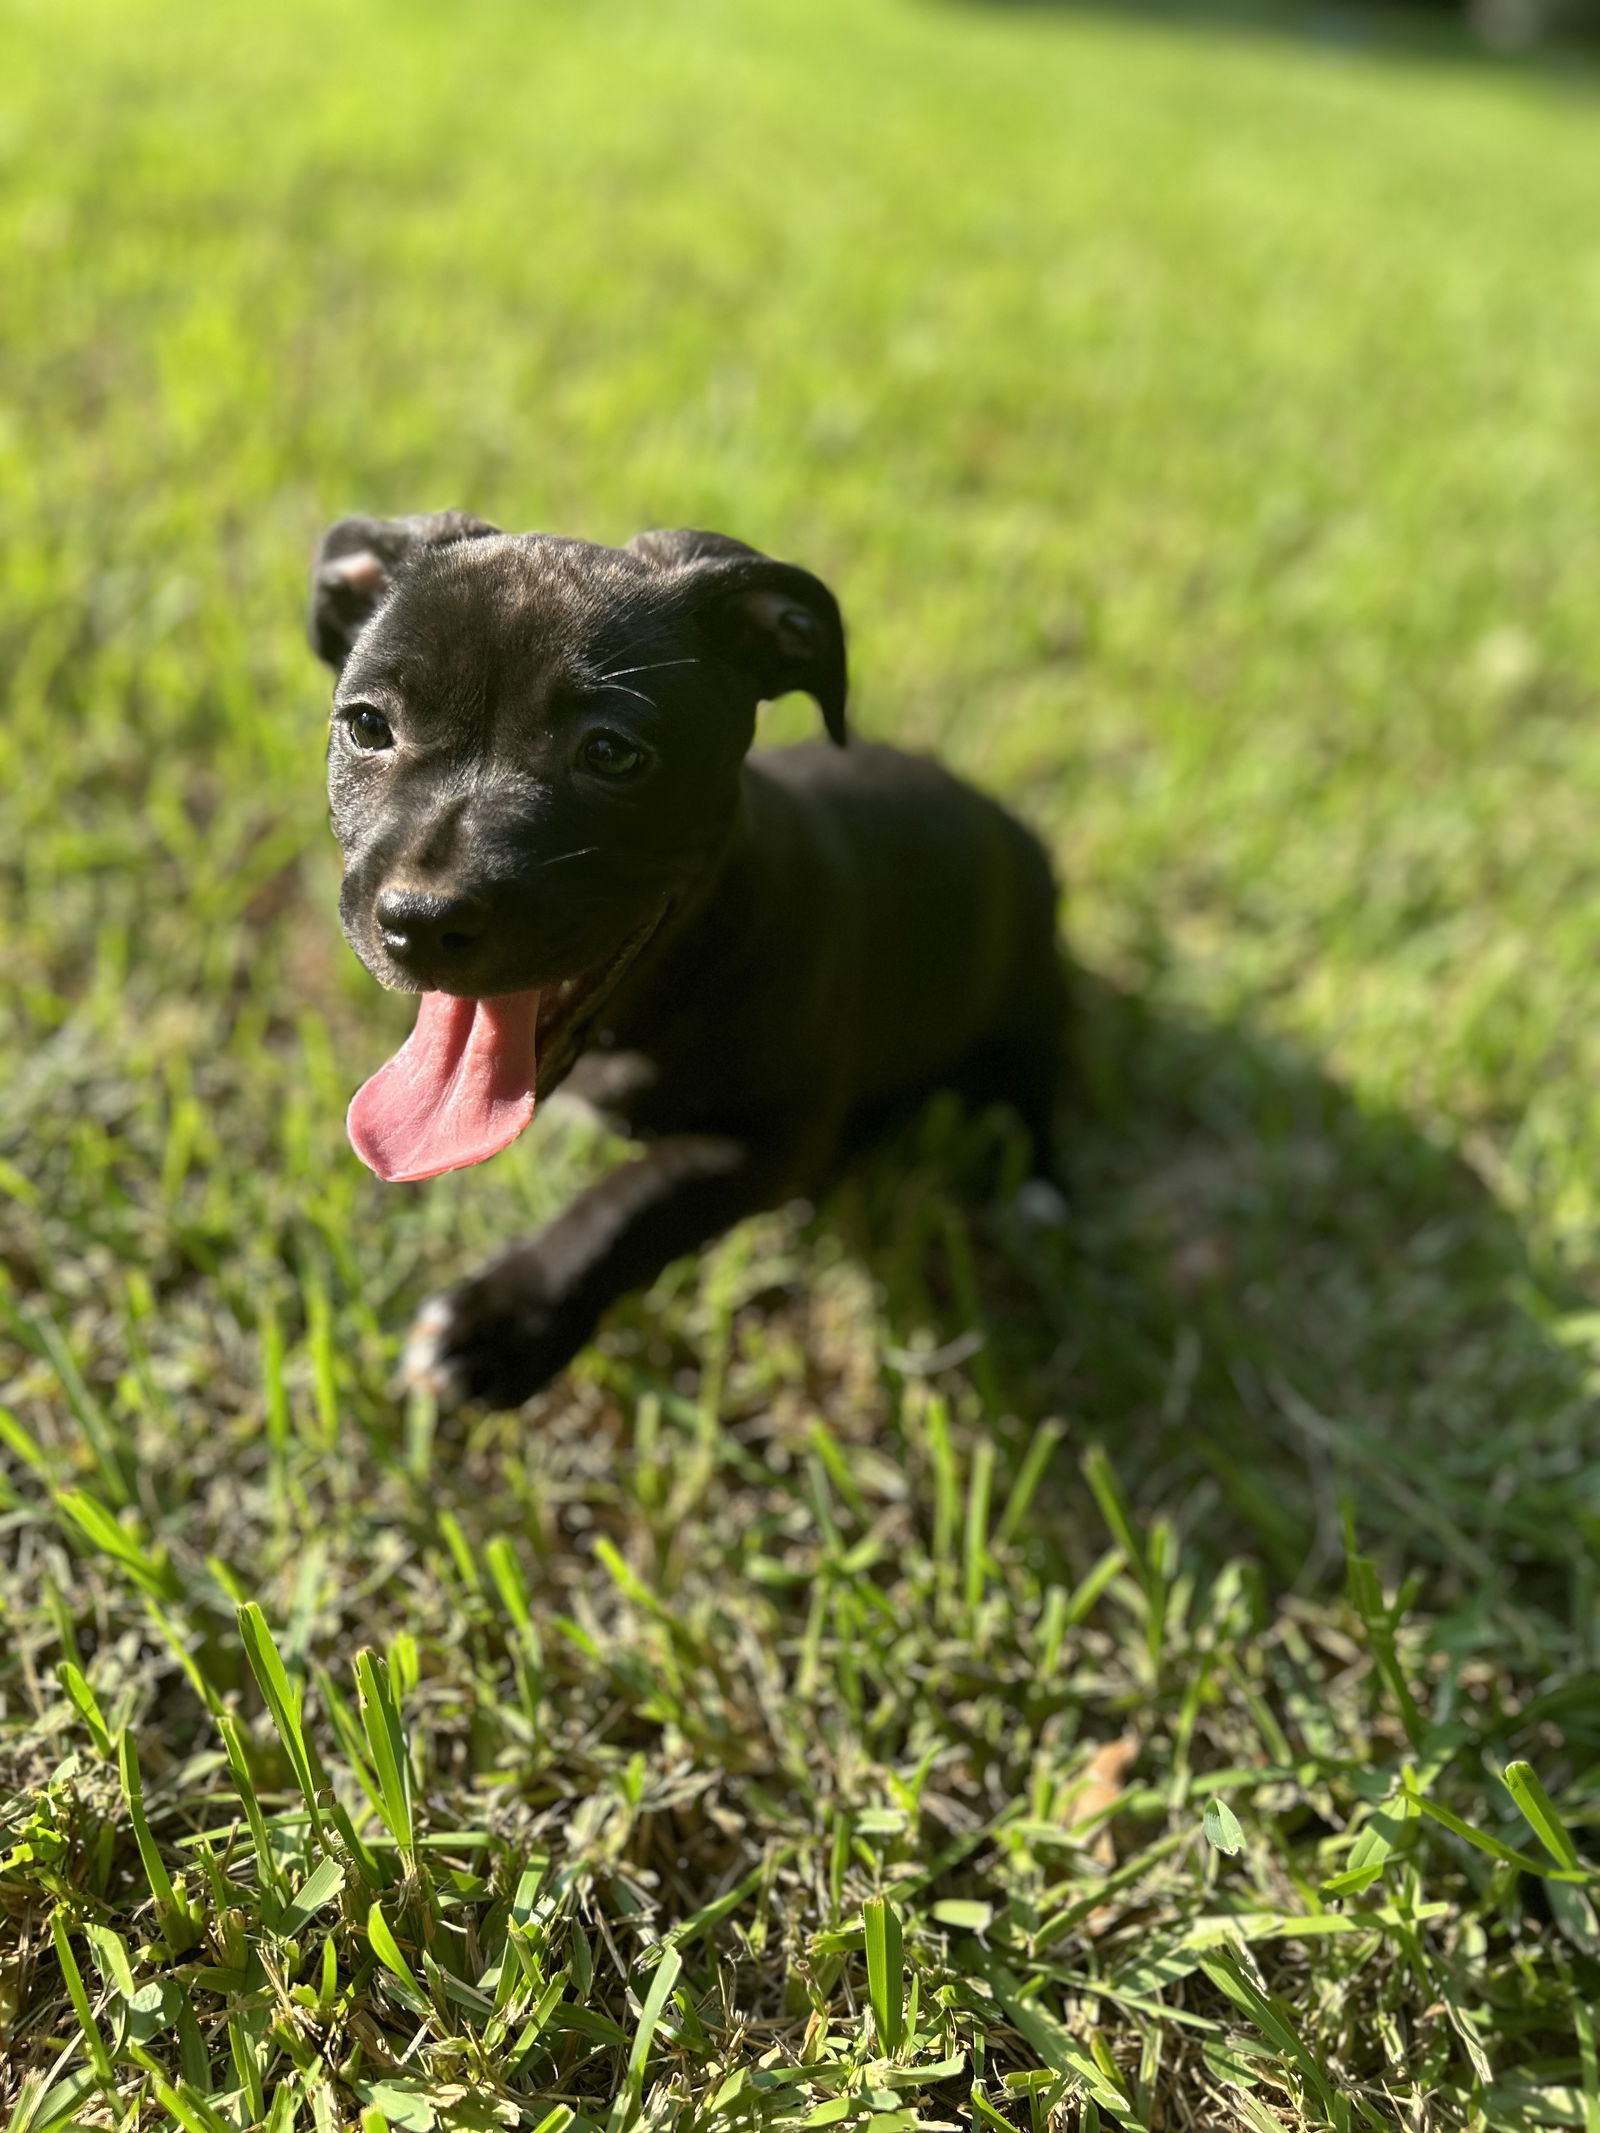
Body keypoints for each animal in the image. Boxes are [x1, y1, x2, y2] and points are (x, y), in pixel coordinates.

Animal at [309, 514, 1070, 1407]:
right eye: (368, 725)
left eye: (610, 752)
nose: (420, 923)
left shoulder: (768, 1137)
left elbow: (631, 1204)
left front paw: (497, 1322)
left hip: (1030, 978)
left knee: (1042, 1065)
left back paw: (1035, 1186)